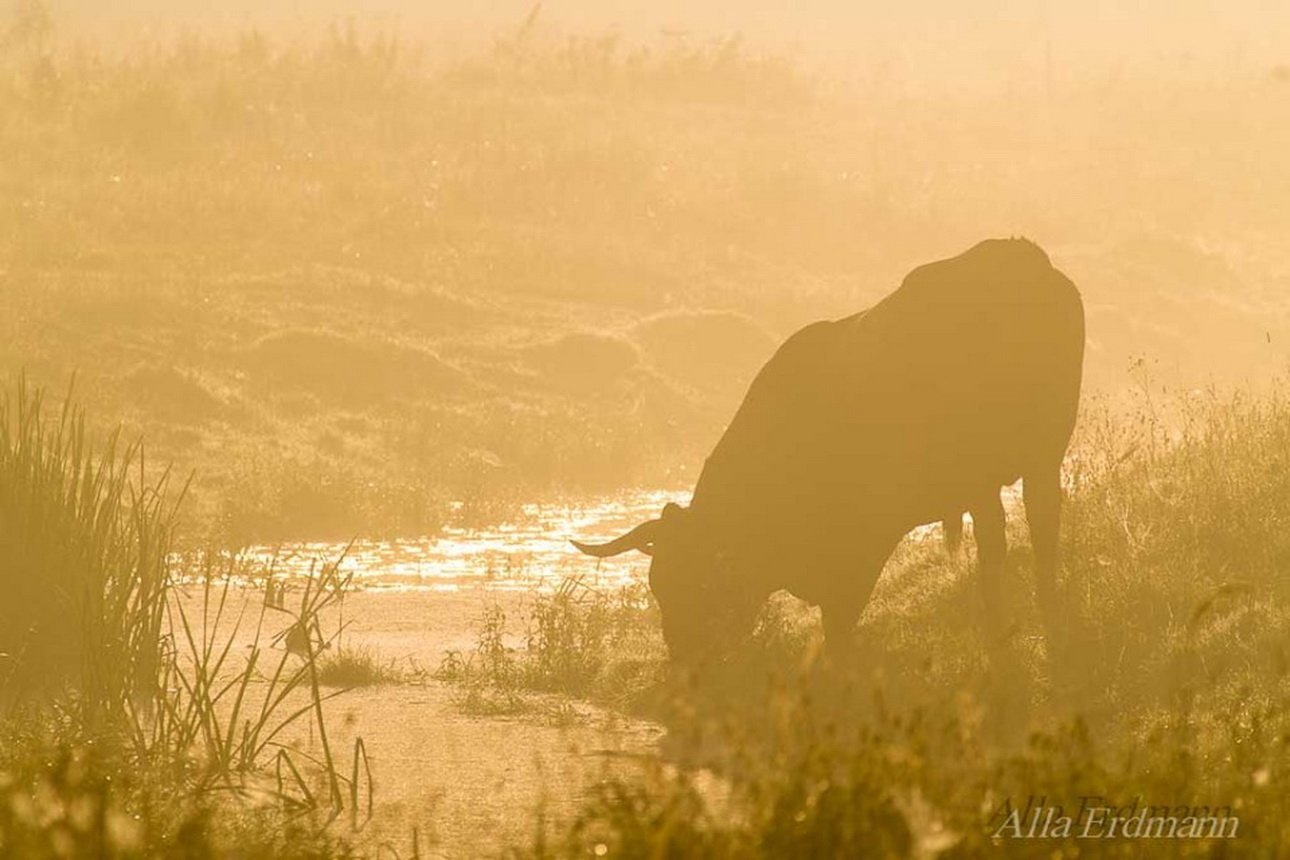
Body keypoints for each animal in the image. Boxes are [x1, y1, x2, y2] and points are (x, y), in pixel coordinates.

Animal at [570, 238, 1083, 665]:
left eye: (699, 582)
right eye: (658, 585)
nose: (684, 659)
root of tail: (1019, 257)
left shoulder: (865, 538)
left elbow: (841, 618)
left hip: (990, 468)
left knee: (1007, 538)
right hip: (1036, 460)